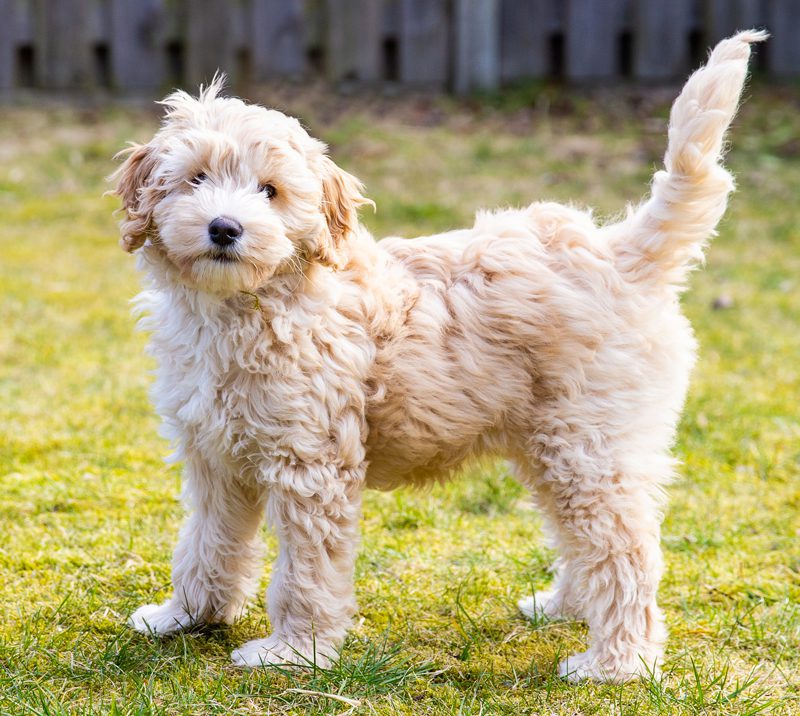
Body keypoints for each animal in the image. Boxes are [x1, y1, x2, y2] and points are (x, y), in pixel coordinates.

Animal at [115, 32, 764, 684]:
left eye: (269, 191)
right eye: (196, 179)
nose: (225, 228)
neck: (252, 304)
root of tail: (619, 253)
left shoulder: (309, 466)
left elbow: (305, 570)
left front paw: (295, 652)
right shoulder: (214, 456)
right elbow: (205, 542)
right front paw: (186, 616)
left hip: (588, 446)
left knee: (623, 548)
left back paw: (615, 661)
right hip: (552, 446)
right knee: (586, 537)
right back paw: (564, 607)